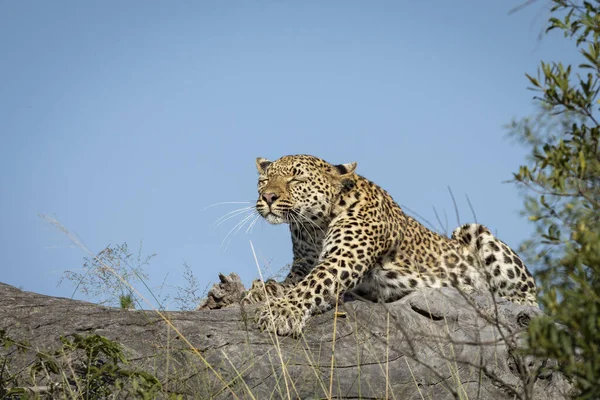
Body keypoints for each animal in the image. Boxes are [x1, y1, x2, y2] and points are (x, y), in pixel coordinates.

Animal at [244, 155, 540, 336]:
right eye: (264, 180)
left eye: (296, 180)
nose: (267, 197)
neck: (314, 224)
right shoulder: (303, 264)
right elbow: (290, 282)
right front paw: (260, 292)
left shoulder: (343, 259)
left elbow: (312, 284)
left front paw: (282, 312)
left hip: (475, 233)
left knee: (528, 303)